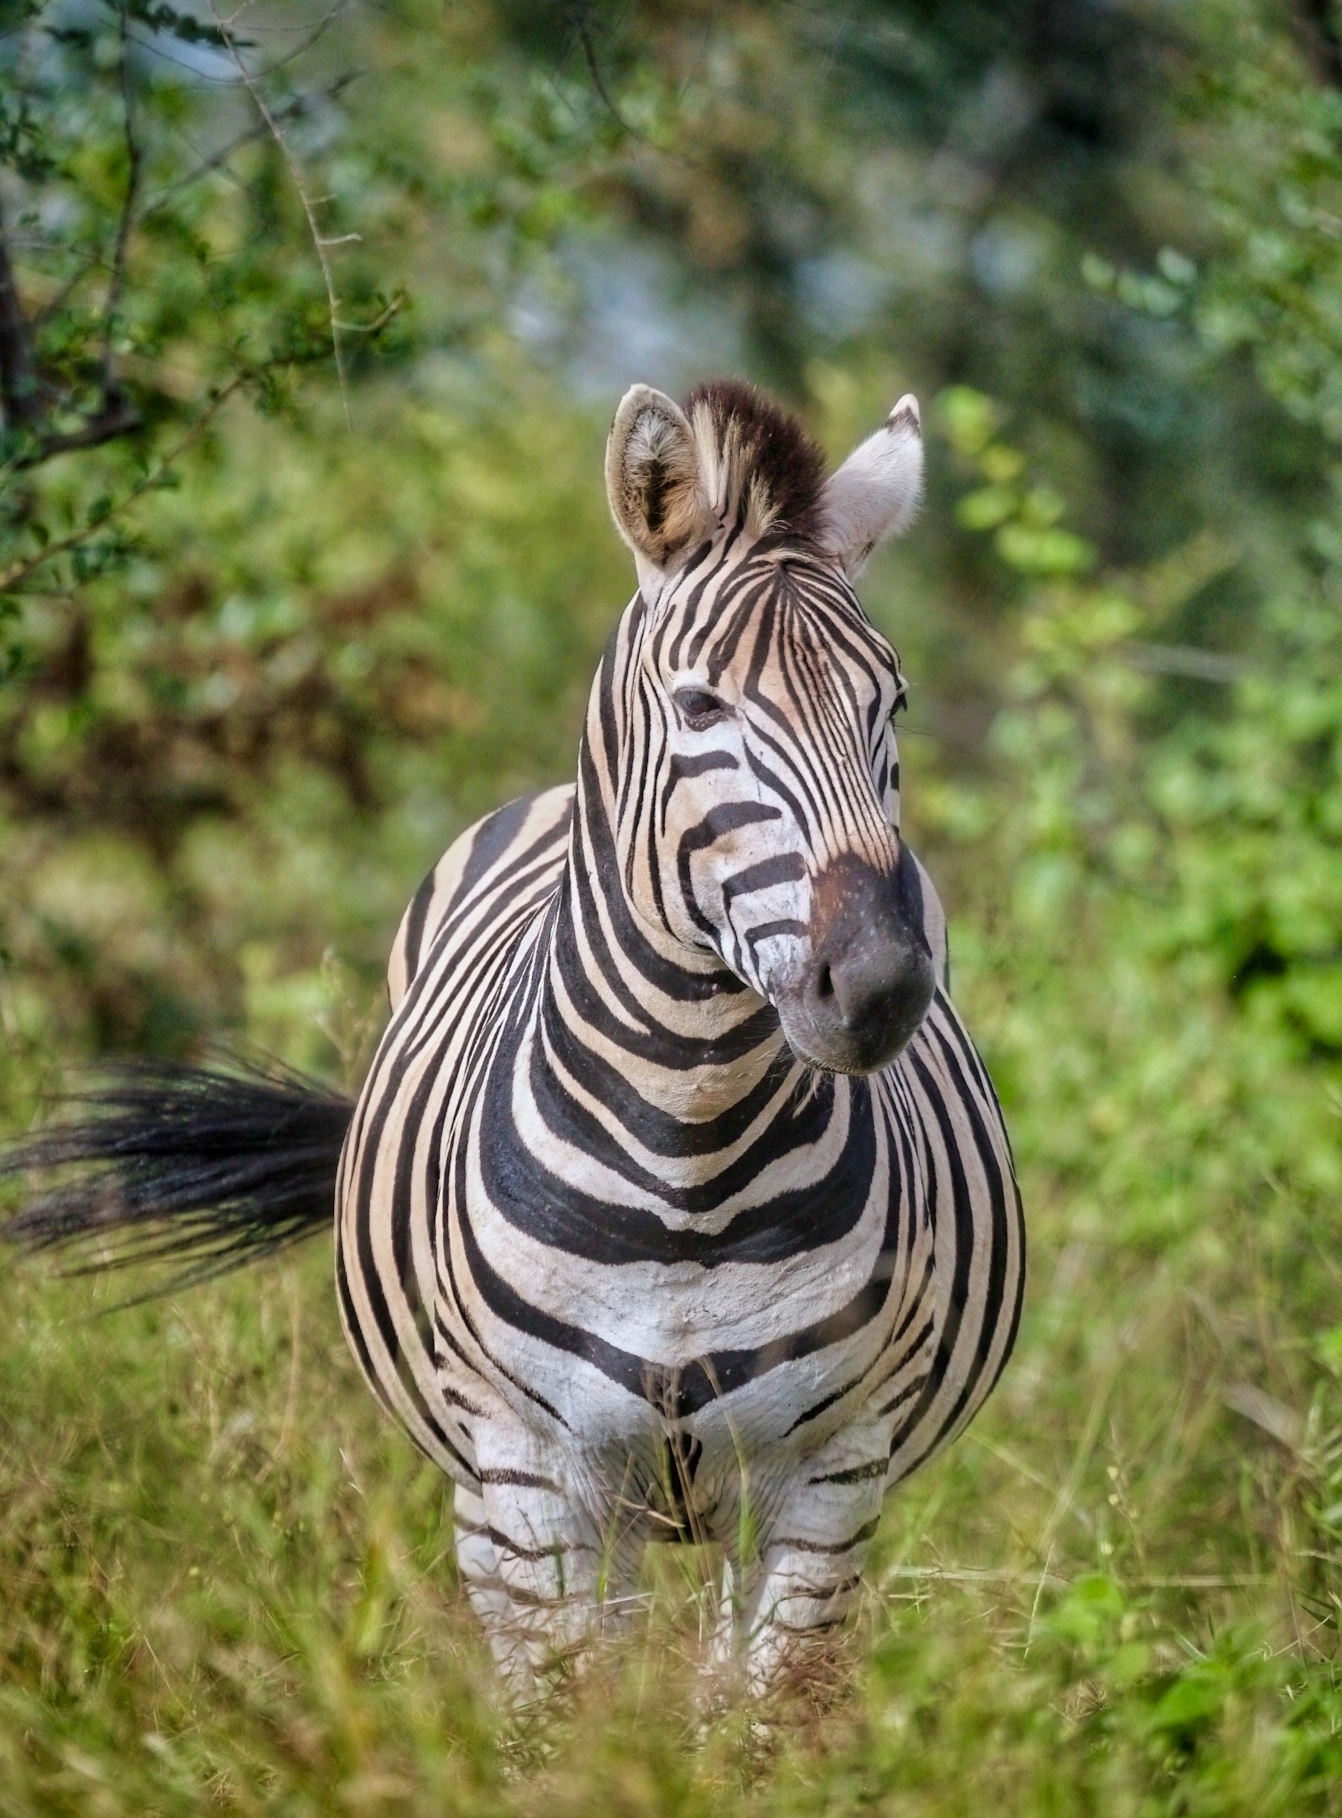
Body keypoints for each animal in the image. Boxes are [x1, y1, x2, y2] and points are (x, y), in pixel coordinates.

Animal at [2, 379, 1025, 1701]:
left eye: (887, 705)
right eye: (700, 705)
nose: (884, 984)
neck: (690, 1163)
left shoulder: (829, 1482)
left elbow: (759, 1721)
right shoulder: (526, 1477)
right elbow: (561, 1719)